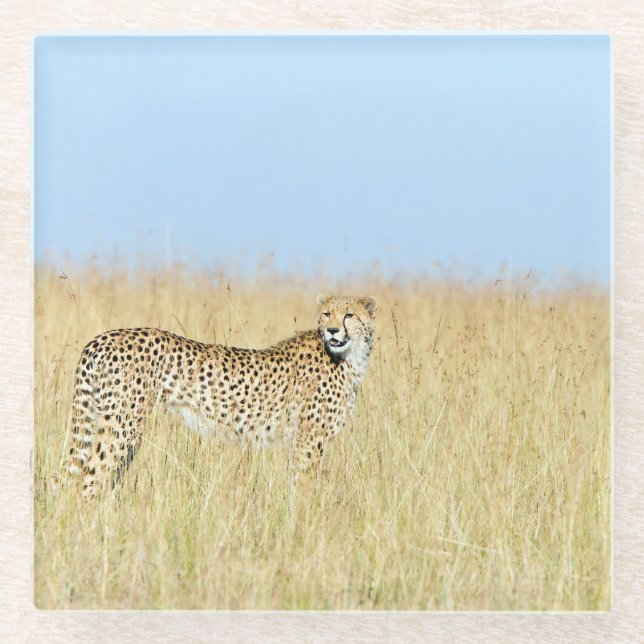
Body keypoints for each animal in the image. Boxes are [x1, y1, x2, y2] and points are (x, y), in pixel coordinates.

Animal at [53, 294, 377, 499]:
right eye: (327, 314)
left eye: (349, 314)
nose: (332, 330)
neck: (348, 356)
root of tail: (102, 338)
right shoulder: (308, 439)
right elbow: (303, 485)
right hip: (122, 425)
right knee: (88, 479)